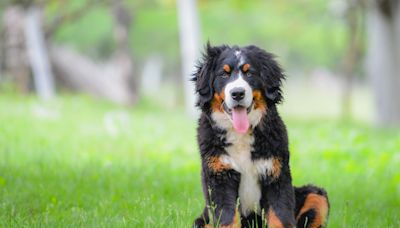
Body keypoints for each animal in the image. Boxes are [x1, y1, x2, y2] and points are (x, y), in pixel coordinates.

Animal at [192, 43, 330, 228]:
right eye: (224, 74)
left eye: (249, 73)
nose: (237, 93)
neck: (241, 135)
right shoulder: (219, 175)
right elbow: (227, 216)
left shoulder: (276, 174)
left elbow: (279, 215)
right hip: (202, 220)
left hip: (316, 195)